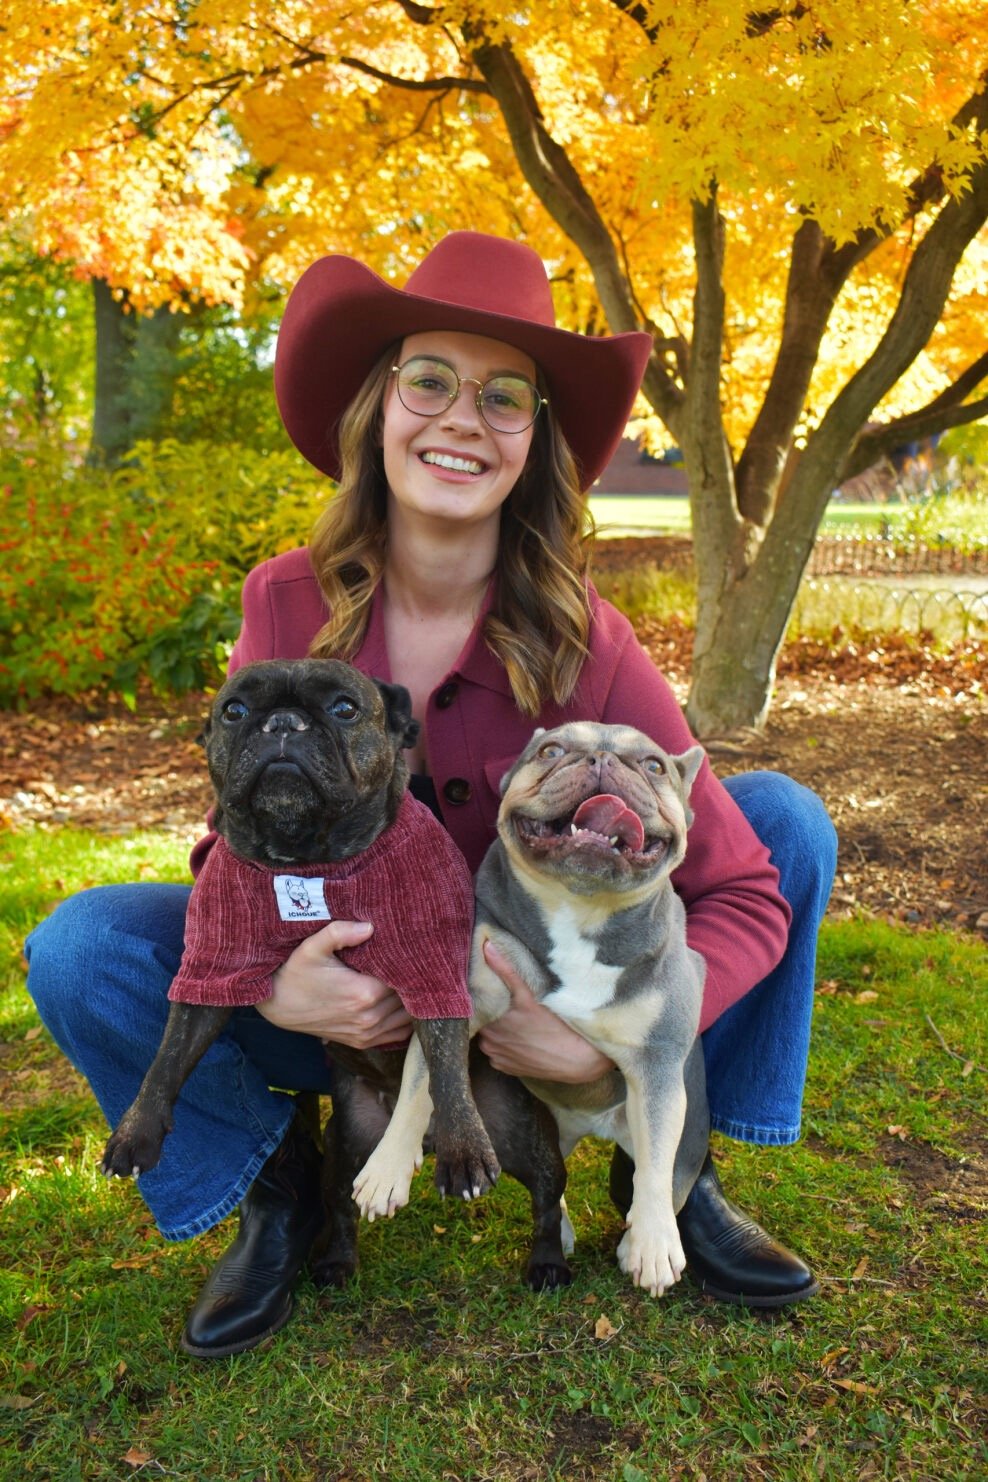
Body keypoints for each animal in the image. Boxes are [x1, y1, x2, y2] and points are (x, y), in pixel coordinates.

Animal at [101, 658, 506, 1285]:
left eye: (344, 708)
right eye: (234, 710)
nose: (284, 723)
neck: (310, 861)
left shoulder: (435, 971)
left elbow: (444, 1064)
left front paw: (465, 1147)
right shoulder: (212, 970)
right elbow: (166, 1058)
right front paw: (135, 1131)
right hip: (346, 1138)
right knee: (336, 1195)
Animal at [355, 721, 710, 1295]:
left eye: (655, 766)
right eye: (551, 750)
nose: (601, 759)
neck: (580, 907)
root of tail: (595, 1126)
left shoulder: (658, 1067)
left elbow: (656, 1166)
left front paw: (654, 1244)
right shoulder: (455, 1003)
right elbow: (420, 1085)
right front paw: (386, 1168)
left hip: (683, 1130)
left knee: (660, 1176)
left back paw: (642, 1238)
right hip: (544, 1130)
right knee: (554, 1183)